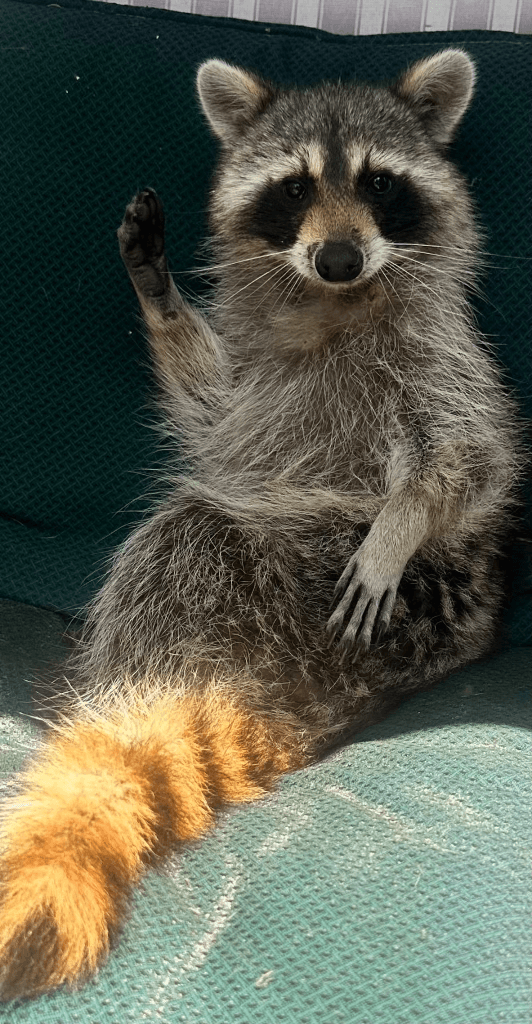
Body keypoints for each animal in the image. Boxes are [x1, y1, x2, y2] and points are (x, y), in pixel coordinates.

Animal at [0, 51, 521, 999]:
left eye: (379, 182)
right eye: (295, 187)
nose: (339, 255)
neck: (333, 301)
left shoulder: (446, 361)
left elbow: (472, 459)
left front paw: (402, 519)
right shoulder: (257, 384)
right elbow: (214, 414)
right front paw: (163, 300)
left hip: (310, 580)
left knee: (185, 533)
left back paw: (107, 695)